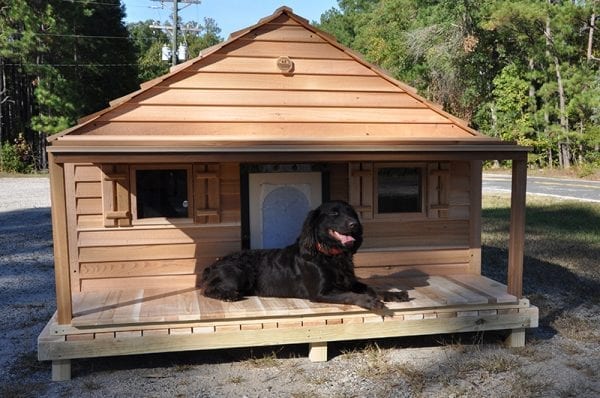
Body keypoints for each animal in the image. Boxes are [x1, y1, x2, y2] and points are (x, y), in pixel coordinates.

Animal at [199, 201, 410, 316]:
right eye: (334, 213)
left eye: (351, 213)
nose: (354, 225)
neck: (330, 255)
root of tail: (214, 264)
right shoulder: (321, 293)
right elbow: (352, 295)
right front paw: (370, 301)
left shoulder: (350, 281)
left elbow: (372, 288)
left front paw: (394, 294)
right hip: (240, 273)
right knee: (207, 290)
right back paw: (228, 295)